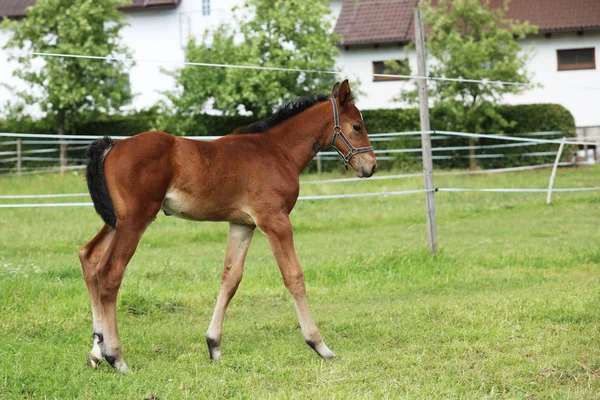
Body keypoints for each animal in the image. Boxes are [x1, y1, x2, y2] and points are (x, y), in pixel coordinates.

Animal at [79, 79, 376, 374]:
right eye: (357, 126)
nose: (371, 166)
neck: (277, 151)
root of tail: (112, 146)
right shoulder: (275, 220)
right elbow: (294, 277)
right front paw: (320, 345)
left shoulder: (242, 225)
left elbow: (230, 278)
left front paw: (214, 346)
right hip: (136, 219)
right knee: (110, 272)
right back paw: (116, 357)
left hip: (116, 220)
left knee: (89, 257)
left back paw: (97, 350)